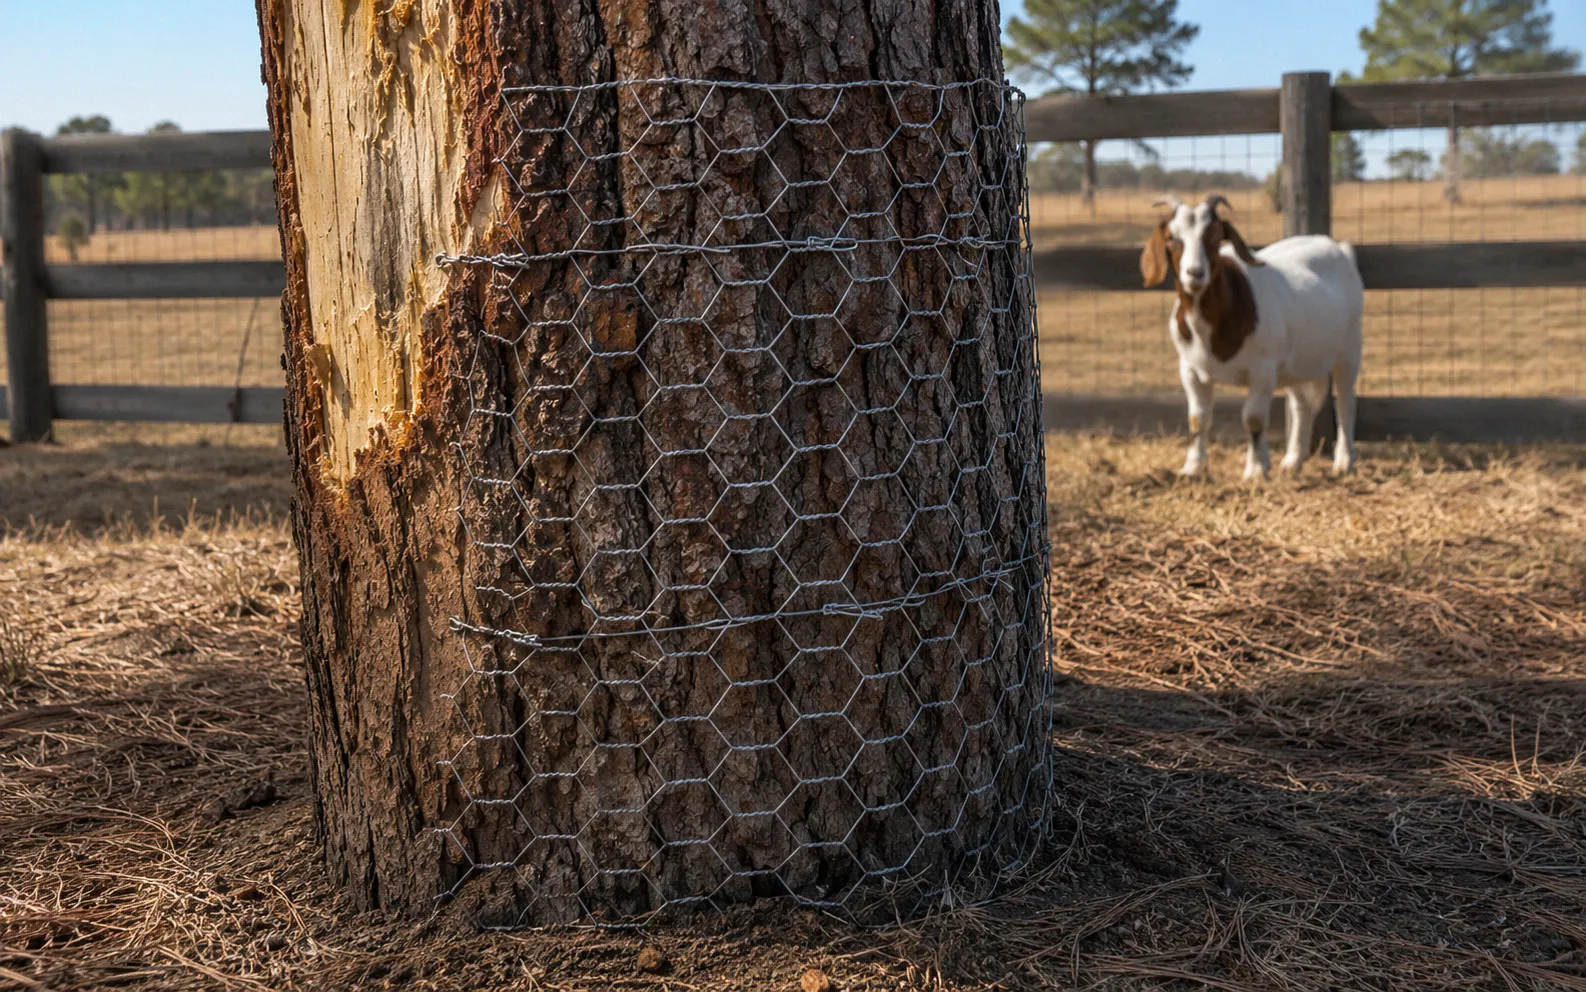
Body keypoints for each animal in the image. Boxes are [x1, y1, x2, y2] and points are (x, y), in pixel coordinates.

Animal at [1141, 193, 1364, 480]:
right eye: (1171, 238)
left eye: (1216, 237)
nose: (1195, 274)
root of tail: (1340, 250)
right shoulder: (1190, 370)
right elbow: (1198, 419)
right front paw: (1192, 468)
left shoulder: (1262, 370)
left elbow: (1254, 418)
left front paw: (1257, 471)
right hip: (1297, 364)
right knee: (1301, 405)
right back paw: (1293, 461)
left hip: (1349, 349)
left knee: (1346, 403)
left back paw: (1345, 462)